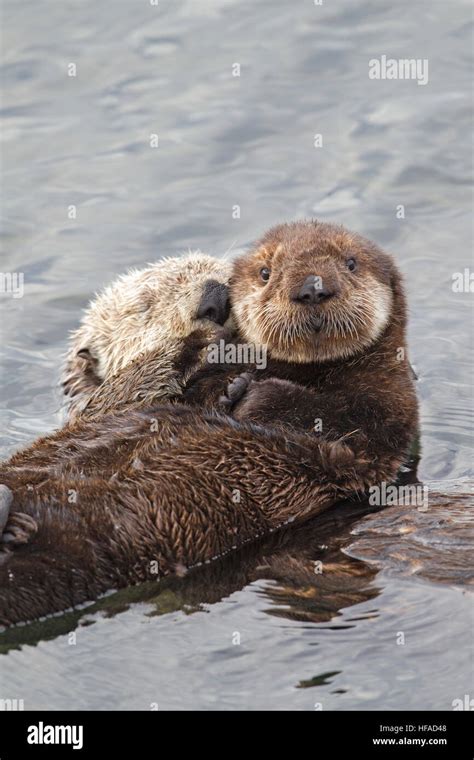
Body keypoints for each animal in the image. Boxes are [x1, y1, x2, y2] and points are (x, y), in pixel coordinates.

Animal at [0, 218, 416, 624]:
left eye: (222, 274)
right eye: (144, 307)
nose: (213, 298)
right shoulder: (97, 409)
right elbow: (118, 396)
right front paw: (196, 347)